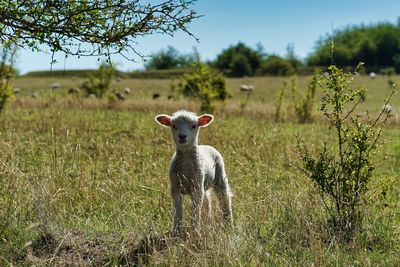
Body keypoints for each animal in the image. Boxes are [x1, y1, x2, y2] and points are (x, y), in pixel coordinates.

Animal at [155, 110, 233, 238]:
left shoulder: (196, 188)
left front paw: (195, 231)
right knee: (206, 201)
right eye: (173, 125)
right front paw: (176, 232)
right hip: (202, 184)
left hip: (219, 176)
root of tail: (206, 145)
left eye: (194, 126)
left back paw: (228, 224)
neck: (185, 168)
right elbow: (179, 211)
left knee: (224, 199)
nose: (182, 136)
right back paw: (207, 221)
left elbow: (195, 210)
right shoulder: (175, 188)